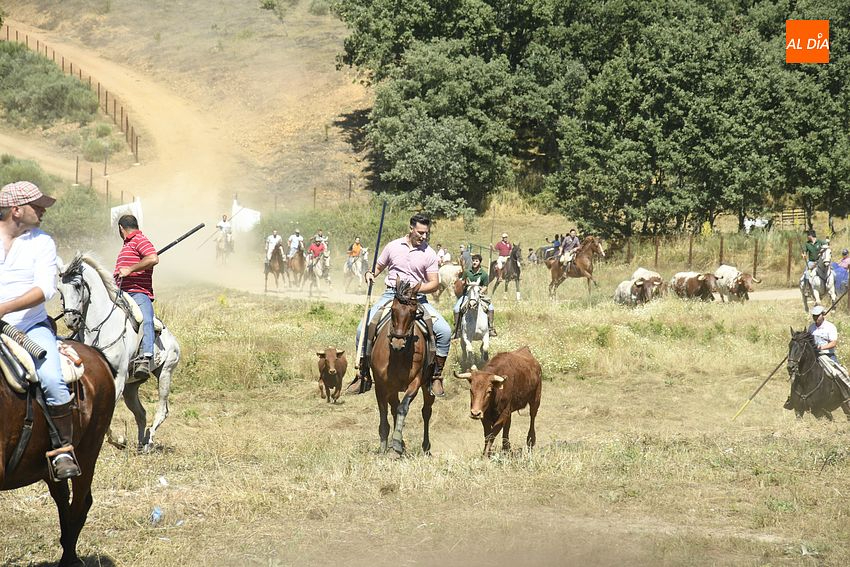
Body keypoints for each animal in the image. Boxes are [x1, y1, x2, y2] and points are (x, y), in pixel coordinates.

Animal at [1, 342, 115, 566]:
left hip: (88, 454)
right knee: (63, 499)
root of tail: (95, 353)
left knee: (80, 505)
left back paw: (69, 558)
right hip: (48, 465)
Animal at [58, 254, 182, 451]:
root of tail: (172, 339)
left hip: (165, 374)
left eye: (77, 285)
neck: (101, 327)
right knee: (141, 413)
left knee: (162, 411)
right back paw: (140, 443)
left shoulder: (120, 377)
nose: (71, 320)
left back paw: (148, 441)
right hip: (131, 388)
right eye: (59, 289)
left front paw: (117, 439)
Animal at [370, 281, 435, 457]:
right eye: (393, 309)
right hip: (392, 388)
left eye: (413, 312)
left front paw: (397, 442)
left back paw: (425, 446)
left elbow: (403, 408)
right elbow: (384, 413)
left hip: (427, 387)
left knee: (426, 411)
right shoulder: (381, 385)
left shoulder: (415, 383)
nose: (397, 343)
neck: (398, 356)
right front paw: (384, 446)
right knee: (393, 407)